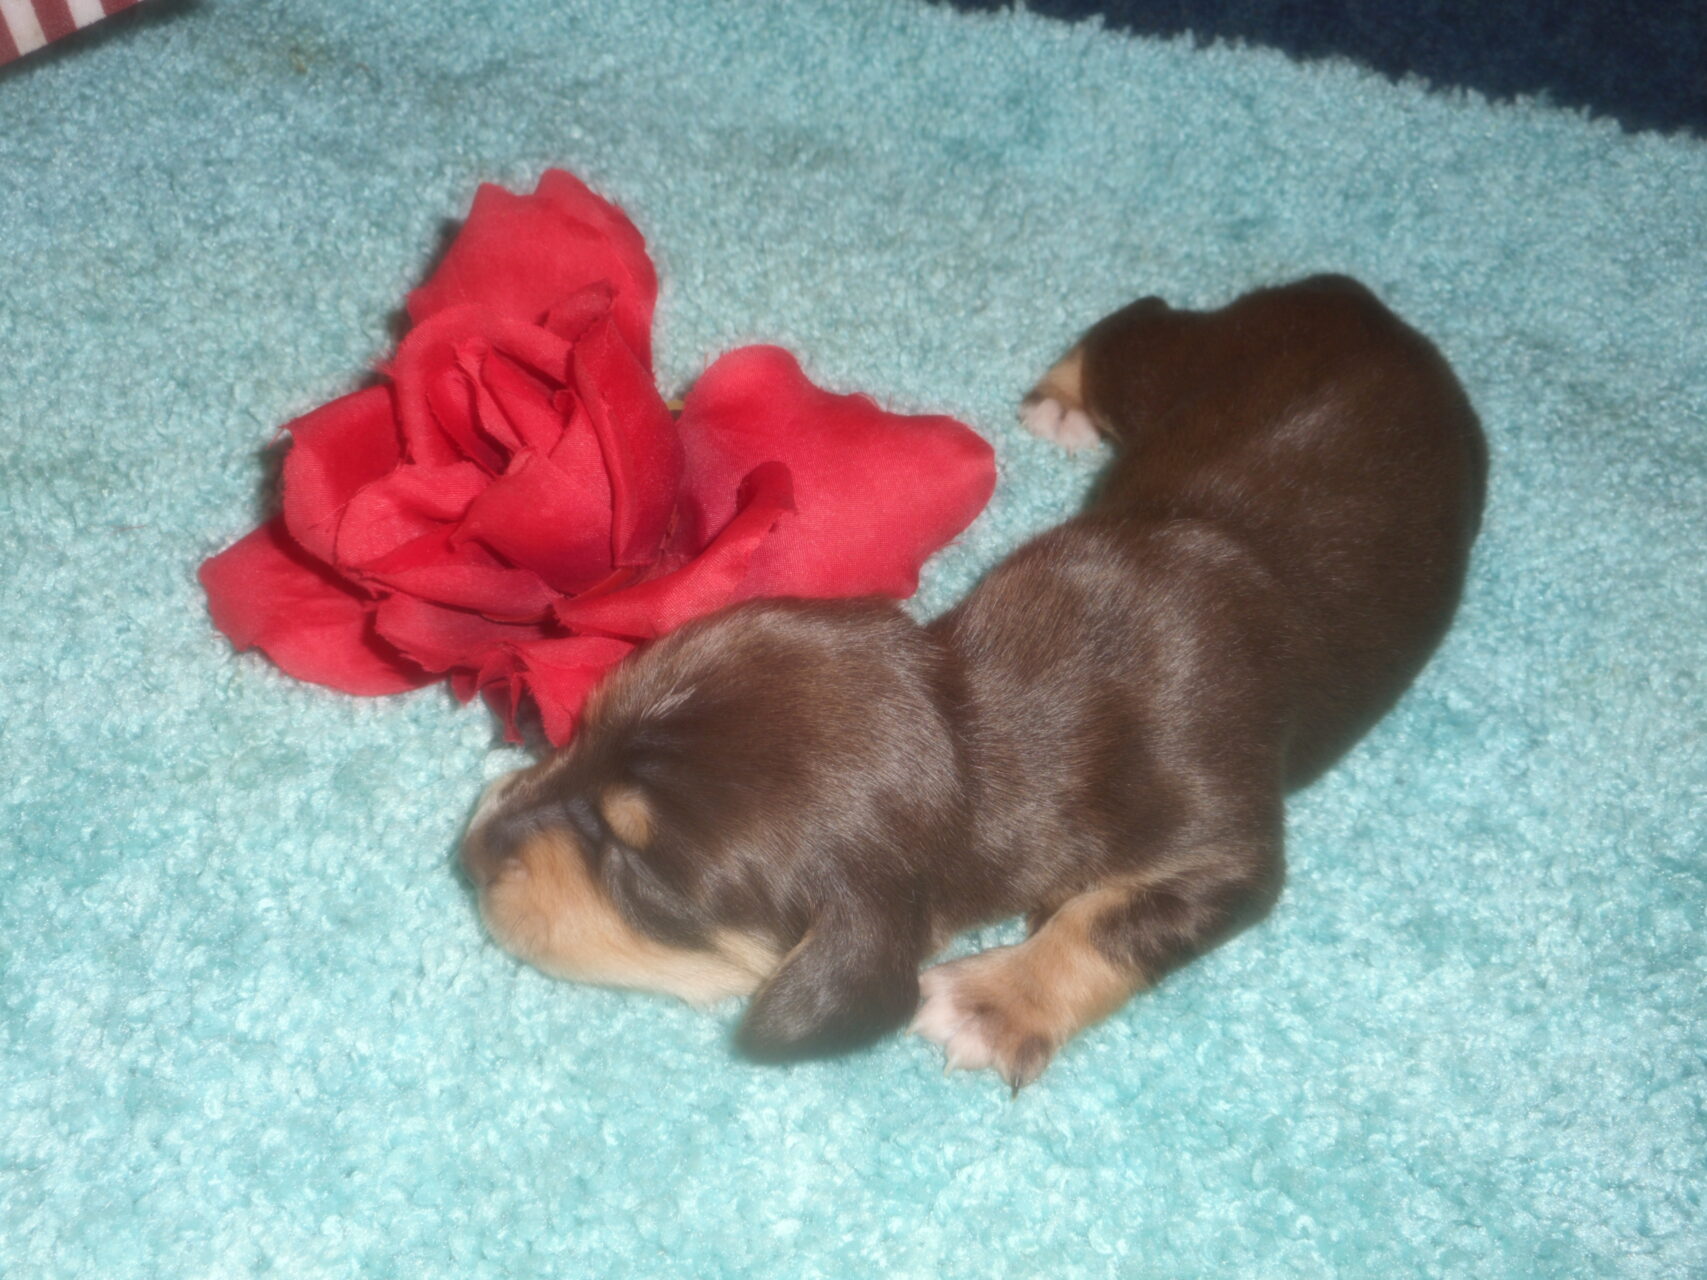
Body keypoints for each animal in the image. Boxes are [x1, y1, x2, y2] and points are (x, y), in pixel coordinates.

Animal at [461, 274, 1486, 1089]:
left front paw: (997, 1001)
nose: (467, 852)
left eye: (638, 868)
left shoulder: (1222, 846)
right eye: (579, 728)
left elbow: (1111, 919)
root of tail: (1373, 308)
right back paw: (1060, 399)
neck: (974, 717)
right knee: (1141, 324)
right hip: (1194, 363)